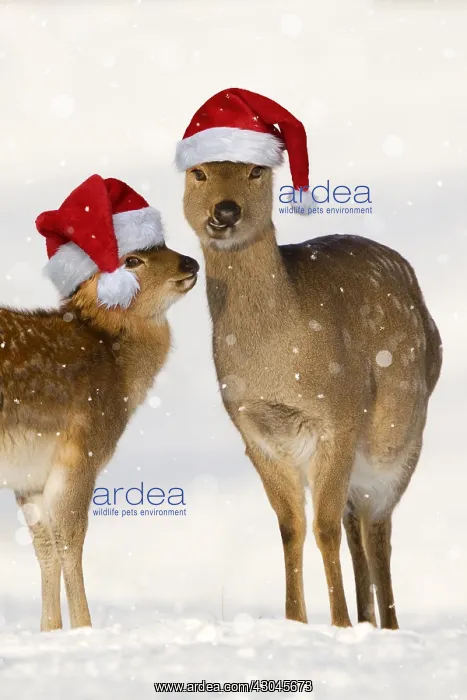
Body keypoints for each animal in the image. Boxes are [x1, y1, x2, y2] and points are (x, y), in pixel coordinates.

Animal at [0, 175, 199, 631]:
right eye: (132, 260)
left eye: (163, 242)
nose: (190, 264)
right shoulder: (81, 450)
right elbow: (71, 540)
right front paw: (85, 628)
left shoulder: (28, 477)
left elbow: (44, 547)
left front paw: (50, 631)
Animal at [177, 88, 442, 628]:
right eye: (199, 172)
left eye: (256, 171)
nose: (226, 211)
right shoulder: (254, 431)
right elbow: (290, 526)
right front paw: (296, 622)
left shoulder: (338, 417)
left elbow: (323, 527)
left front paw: (337, 624)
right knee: (356, 518)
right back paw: (368, 618)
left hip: (400, 433)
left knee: (376, 524)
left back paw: (385, 624)